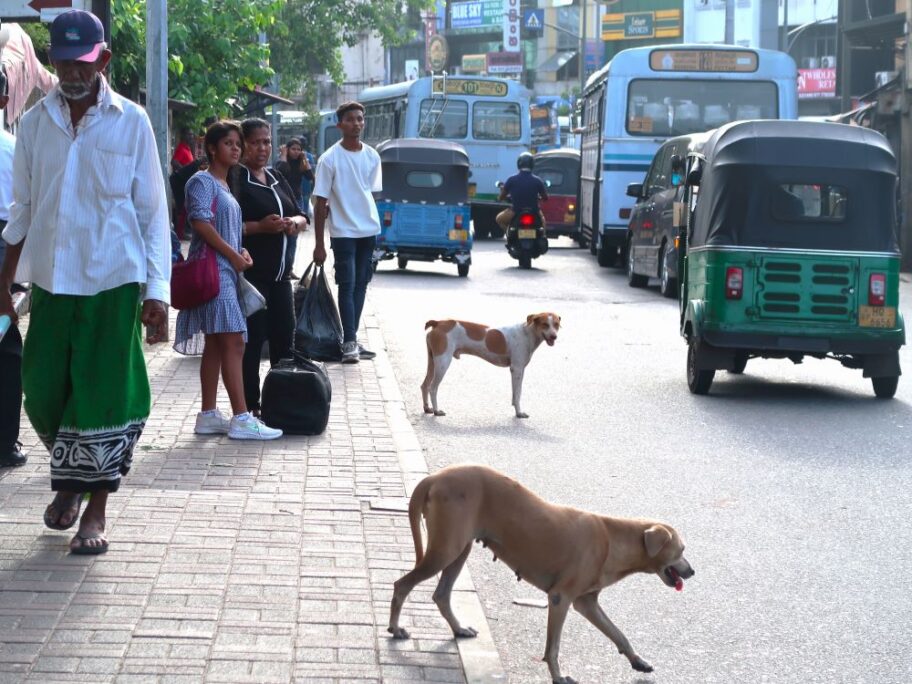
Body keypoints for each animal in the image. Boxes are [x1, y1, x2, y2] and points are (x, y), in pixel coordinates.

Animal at [388, 464, 696, 684]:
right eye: (681, 549)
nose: (692, 571)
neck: (615, 540)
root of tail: (434, 478)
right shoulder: (561, 598)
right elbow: (554, 646)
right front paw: (558, 676)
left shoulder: (587, 602)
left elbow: (617, 632)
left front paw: (637, 660)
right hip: (446, 548)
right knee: (401, 584)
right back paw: (395, 628)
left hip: (459, 548)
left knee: (441, 594)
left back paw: (458, 628)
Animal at [422, 310, 564, 416]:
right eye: (545, 324)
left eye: (556, 324)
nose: (554, 336)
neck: (527, 334)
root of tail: (438, 323)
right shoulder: (517, 369)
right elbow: (518, 394)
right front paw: (519, 412)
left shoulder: (519, 371)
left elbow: (516, 393)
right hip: (443, 363)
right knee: (432, 388)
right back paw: (436, 410)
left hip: (432, 362)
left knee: (424, 385)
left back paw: (427, 408)